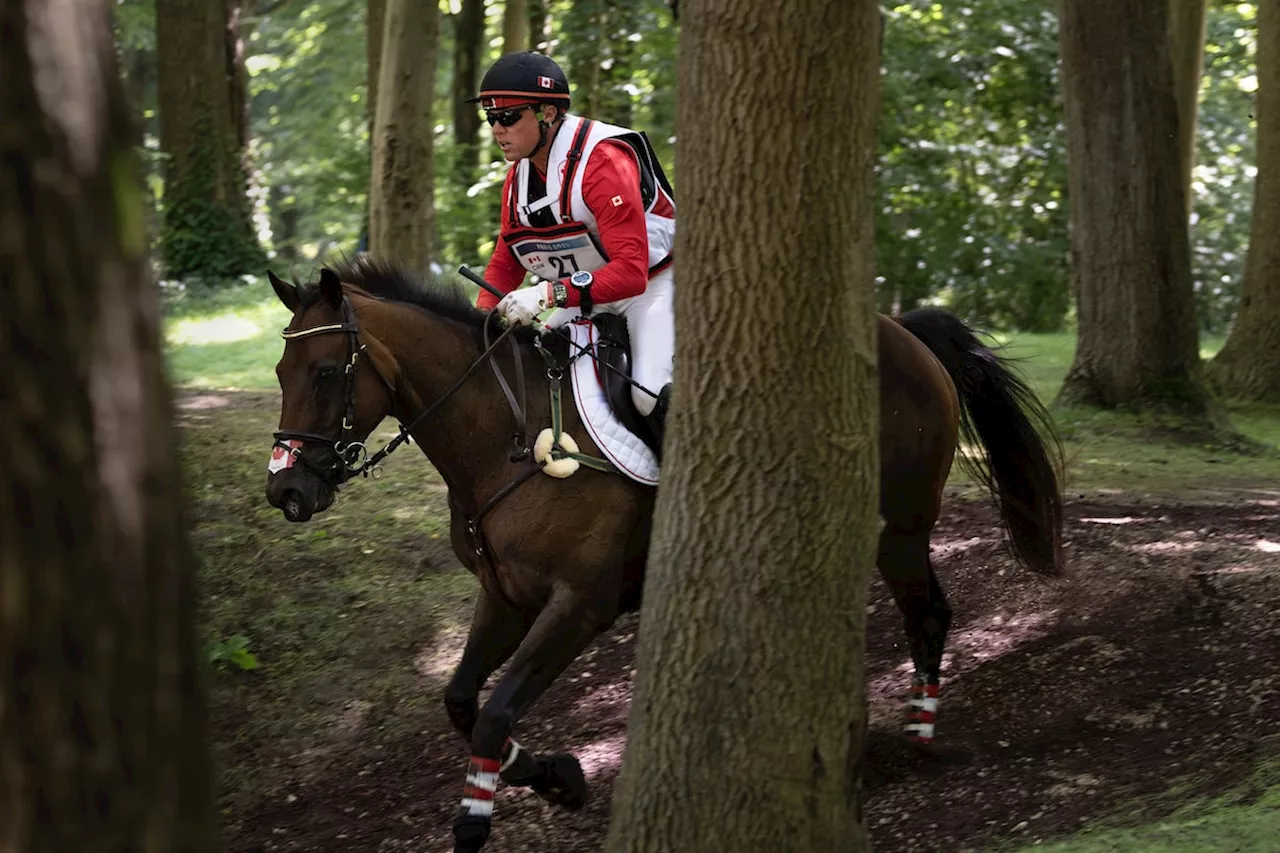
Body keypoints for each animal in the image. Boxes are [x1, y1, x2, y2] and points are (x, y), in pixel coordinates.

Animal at [259, 256, 1059, 850]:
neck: (501, 440)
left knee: (929, 612)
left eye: (326, 373)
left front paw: (488, 814)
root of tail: (906, 332)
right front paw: (556, 777)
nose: (287, 490)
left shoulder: (581, 604)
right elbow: (461, 702)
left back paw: (916, 740)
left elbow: (493, 714)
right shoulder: (505, 597)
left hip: (900, 526)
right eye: (277, 374)